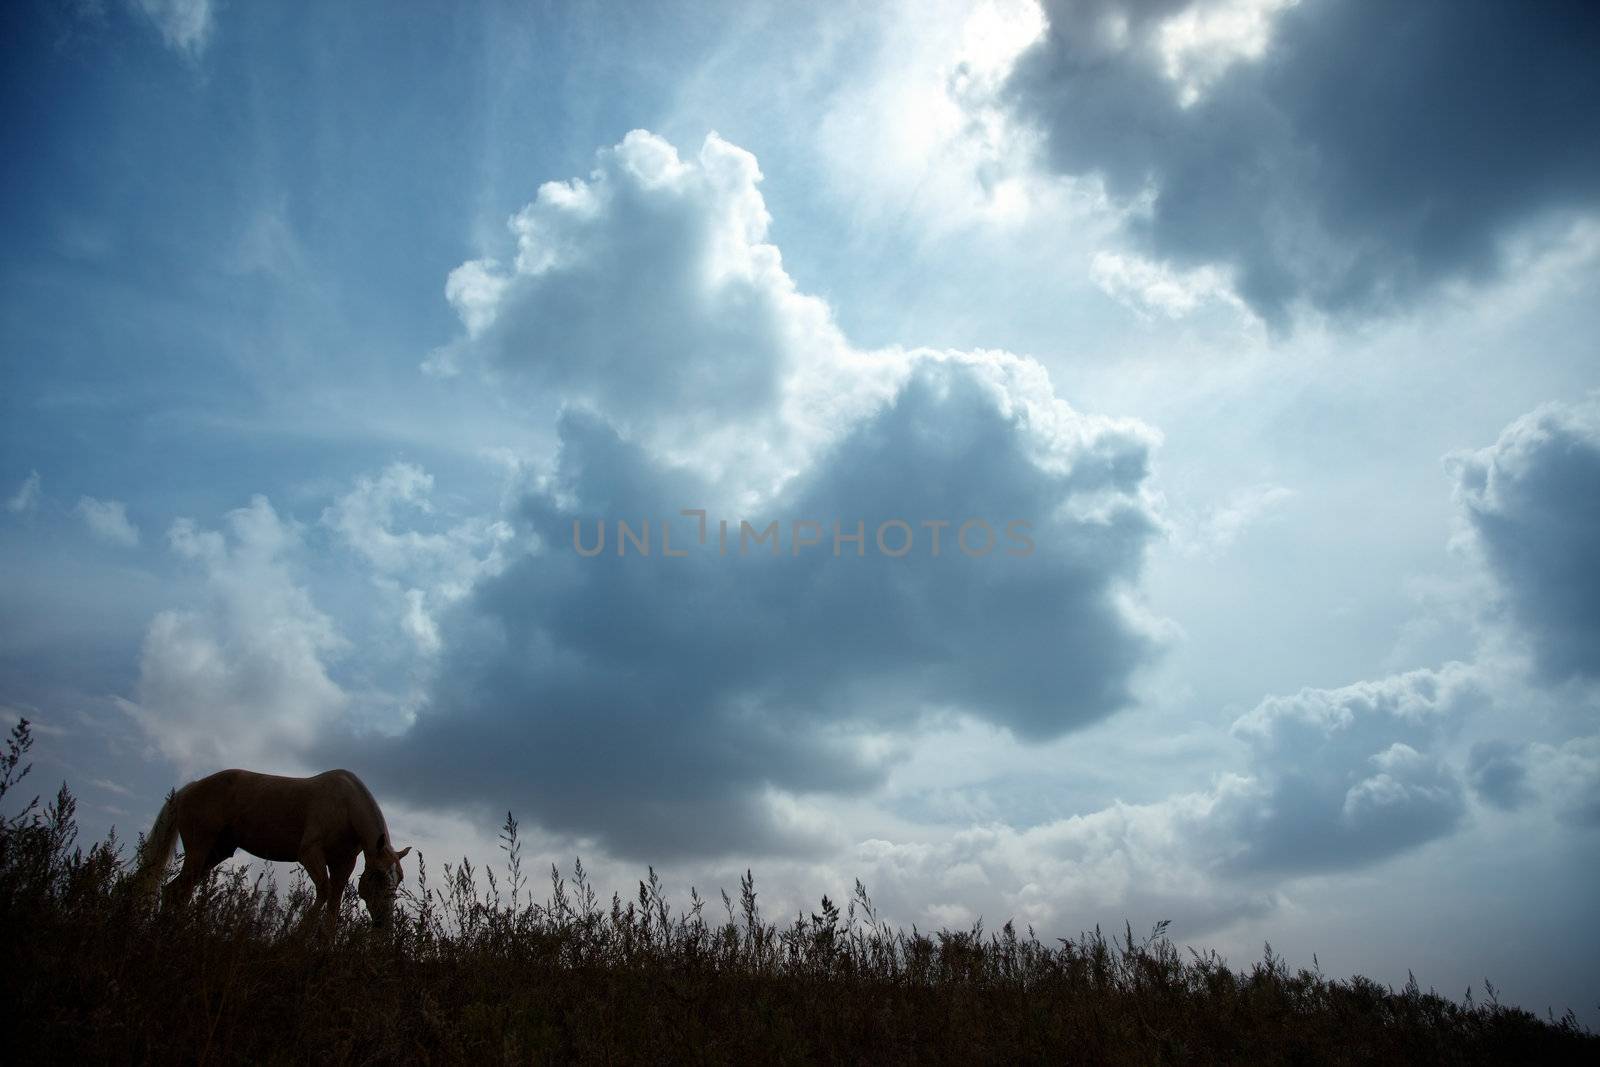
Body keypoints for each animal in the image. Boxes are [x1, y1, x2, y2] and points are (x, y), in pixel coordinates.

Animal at [135, 767, 412, 934]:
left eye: (398, 880)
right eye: (379, 876)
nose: (384, 924)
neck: (346, 806)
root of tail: (187, 790)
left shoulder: (343, 864)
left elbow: (334, 905)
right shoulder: (310, 853)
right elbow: (323, 891)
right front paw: (296, 938)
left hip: (215, 853)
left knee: (174, 890)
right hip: (199, 849)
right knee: (179, 891)